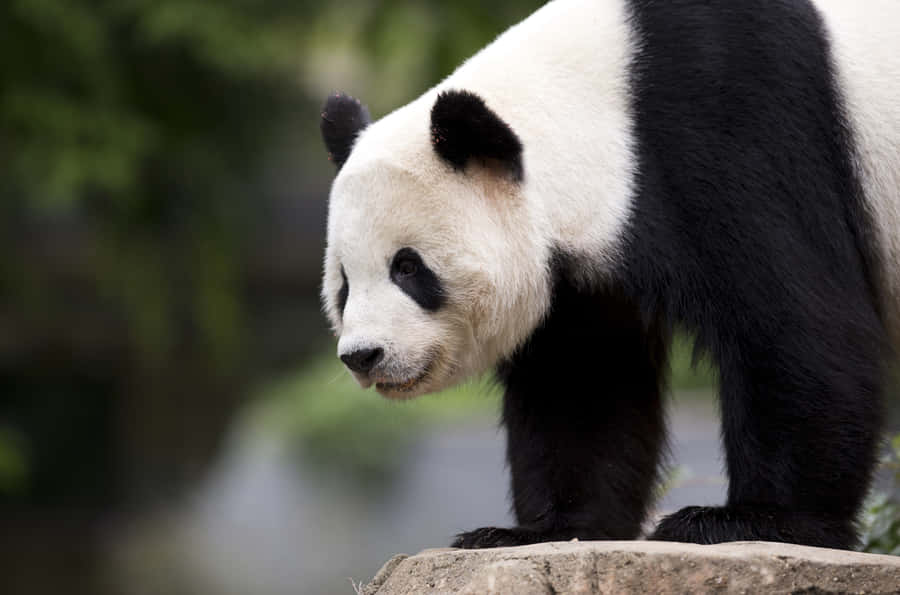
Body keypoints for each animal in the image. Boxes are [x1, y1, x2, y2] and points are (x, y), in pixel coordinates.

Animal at [319, 0, 900, 550]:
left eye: (408, 267)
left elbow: (797, 323)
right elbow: (585, 381)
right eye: (344, 283)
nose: (364, 356)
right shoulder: (587, 268)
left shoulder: (742, 123)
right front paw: (546, 529)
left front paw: (751, 520)